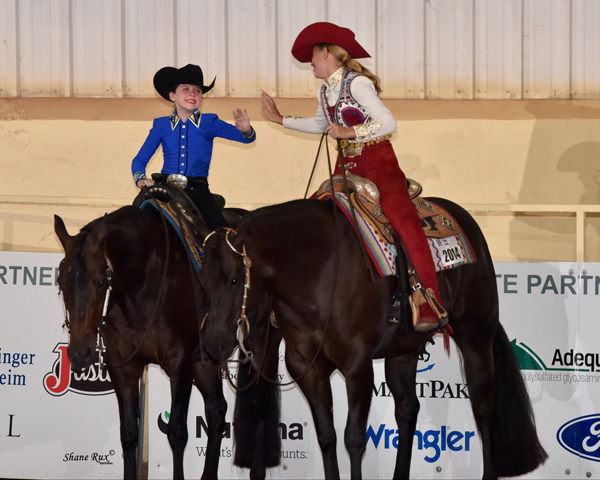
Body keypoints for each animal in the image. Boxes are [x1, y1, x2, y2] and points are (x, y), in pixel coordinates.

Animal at [53, 205, 282, 480]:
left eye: (100, 282)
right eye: (61, 282)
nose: (80, 353)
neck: (143, 283)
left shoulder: (179, 363)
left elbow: (177, 432)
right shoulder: (122, 365)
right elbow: (128, 432)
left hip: (260, 350)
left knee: (259, 406)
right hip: (204, 362)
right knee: (216, 411)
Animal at [198, 197, 548, 478]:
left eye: (234, 279)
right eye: (202, 279)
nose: (213, 343)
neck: (318, 270)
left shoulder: (357, 365)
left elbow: (353, 438)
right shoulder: (305, 367)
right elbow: (326, 435)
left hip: (475, 335)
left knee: (483, 406)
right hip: (403, 352)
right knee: (407, 410)